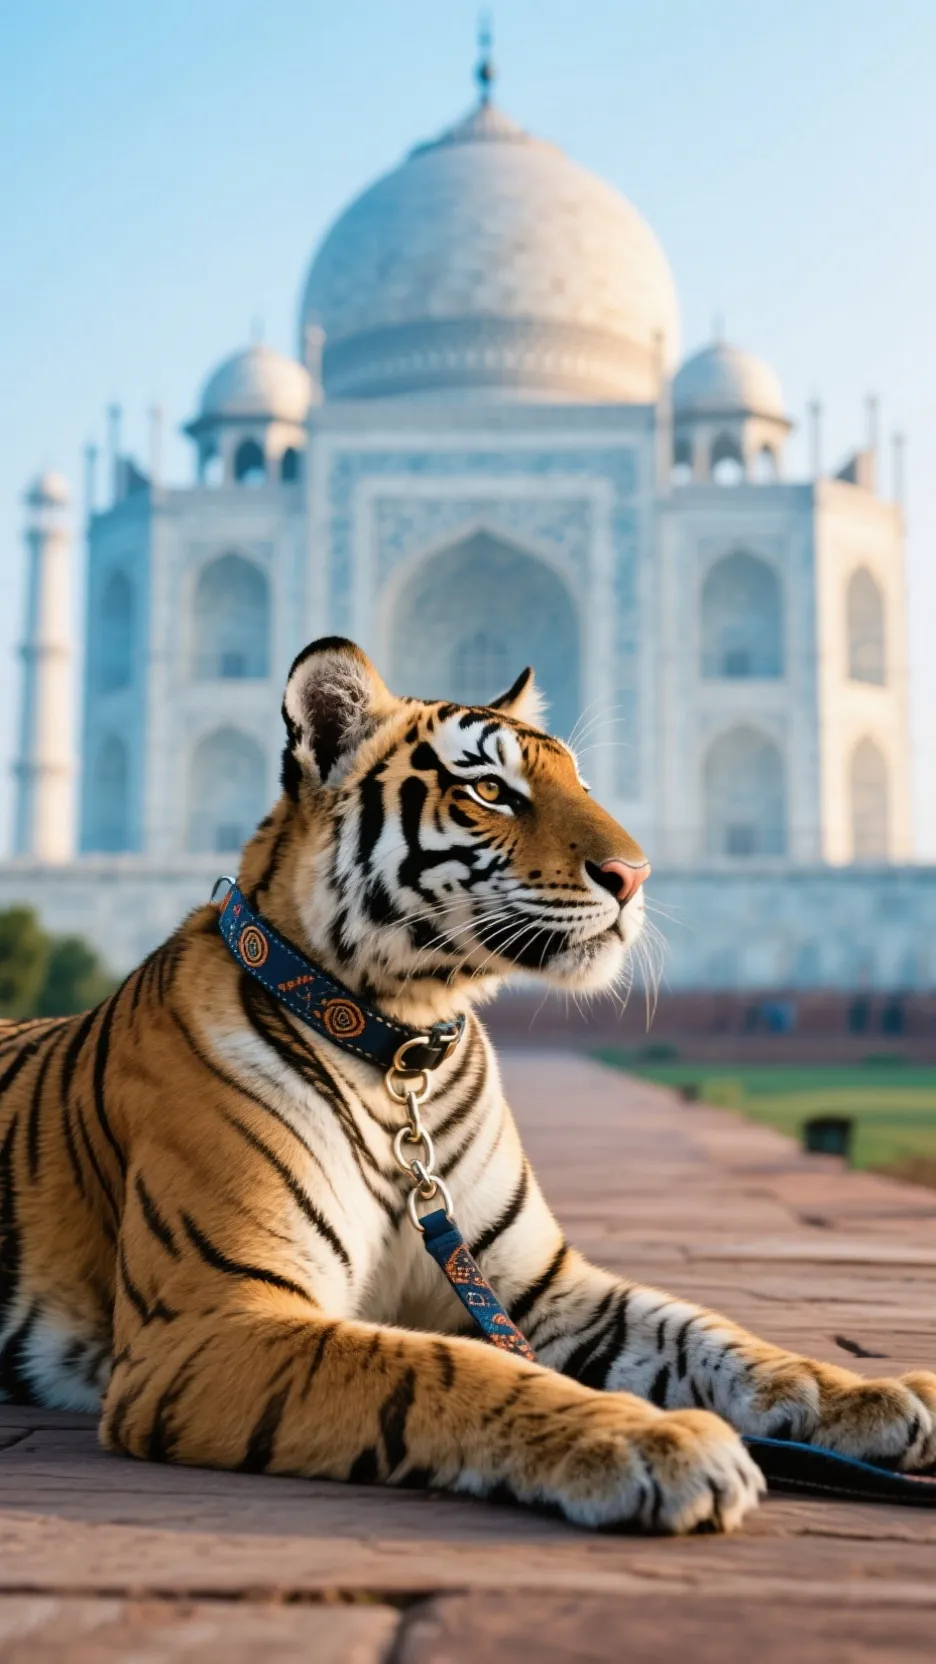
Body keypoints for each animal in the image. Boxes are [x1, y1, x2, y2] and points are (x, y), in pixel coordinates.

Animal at [1, 635, 935, 1536]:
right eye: (490, 790)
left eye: (583, 785)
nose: (635, 875)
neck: (403, 1044)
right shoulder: (210, 1321)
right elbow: (449, 1365)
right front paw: (652, 1441)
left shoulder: (541, 1285)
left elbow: (708, 1332)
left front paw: (872, 1393)